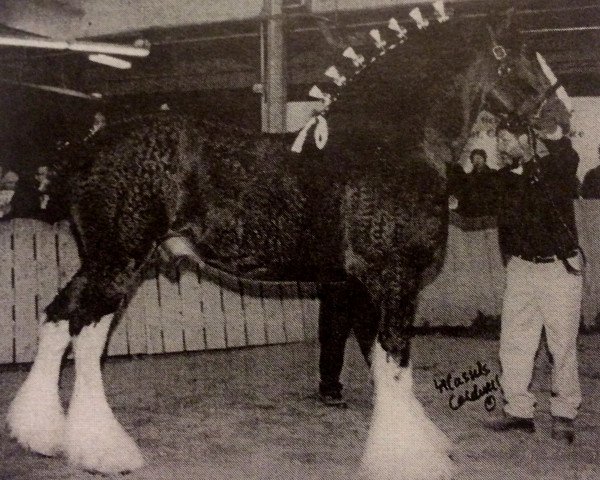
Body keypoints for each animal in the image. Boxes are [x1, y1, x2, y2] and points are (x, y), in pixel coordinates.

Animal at [7, 5, 564, 478]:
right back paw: (104, 450)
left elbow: (385, 364)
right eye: (518, 53)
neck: (390, 144)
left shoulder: (363, 285)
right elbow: (395, 359)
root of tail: (85, 150)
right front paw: (409, 457)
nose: (560, 119)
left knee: (58, 318)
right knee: (85, 332)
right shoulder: (393, 279)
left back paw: (39, 434)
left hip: (103, 262)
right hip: (118, 261)